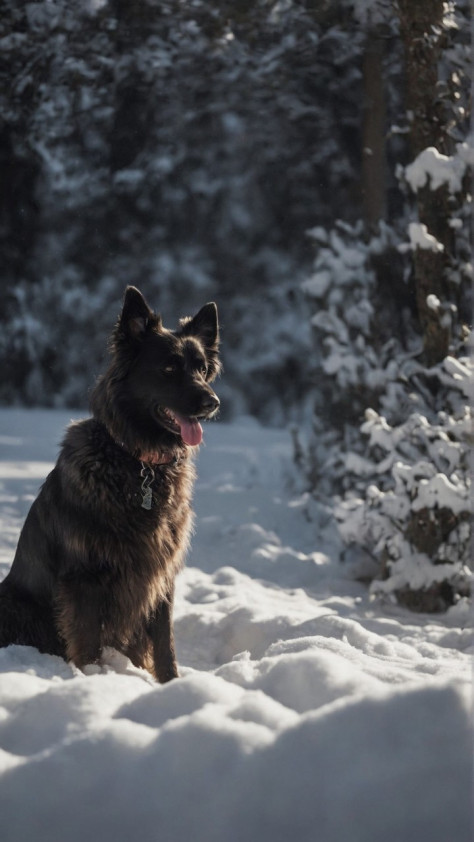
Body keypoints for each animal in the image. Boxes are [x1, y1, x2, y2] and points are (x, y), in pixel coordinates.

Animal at [0, 286, 221, 680]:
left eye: (202, 369)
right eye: (168, 368)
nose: (213, 402)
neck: (138, 463)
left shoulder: (161, 574)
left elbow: (165, 643)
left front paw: (171, 684)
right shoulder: (84, 578)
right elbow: (87, 644)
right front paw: (93, 681)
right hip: (16, 604)